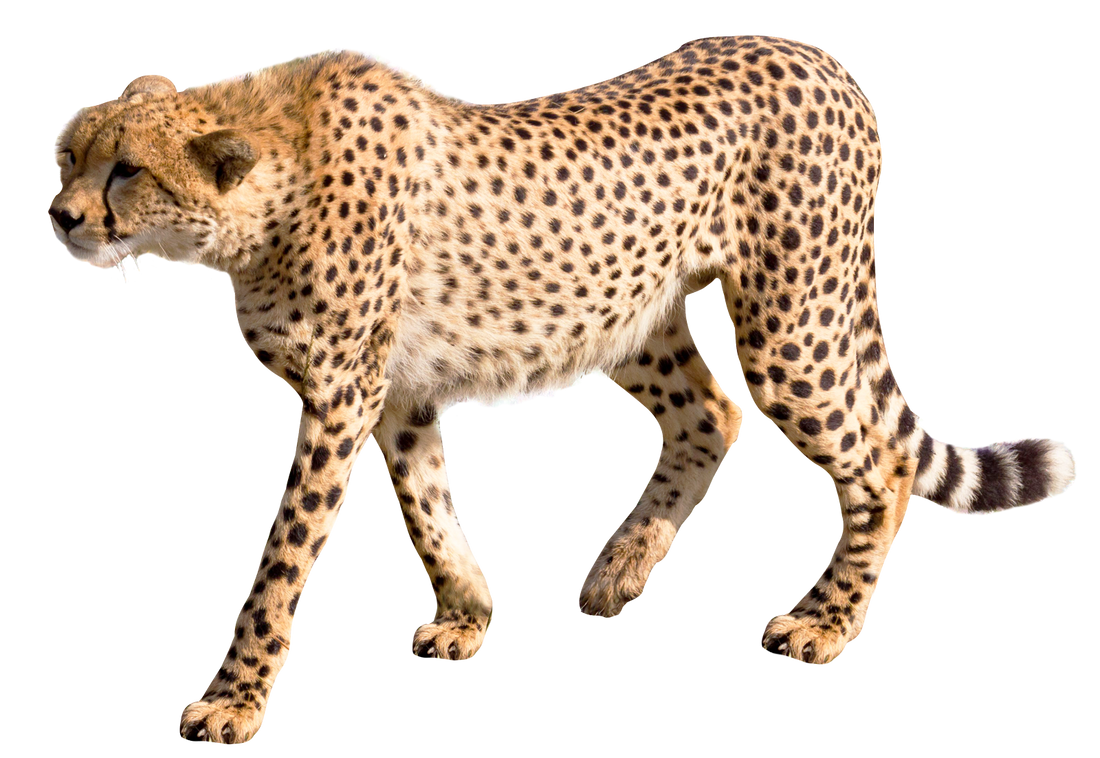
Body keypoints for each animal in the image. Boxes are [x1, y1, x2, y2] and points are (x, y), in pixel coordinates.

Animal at [47, 33, 1079, 746]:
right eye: (67, 155)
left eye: (126, 171)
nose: (59, 215)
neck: (263, 184)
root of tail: (819, 55)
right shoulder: (401, 398)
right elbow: (427, 509)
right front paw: (467, 615)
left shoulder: (340, 399)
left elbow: (282, 559)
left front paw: (232, 701)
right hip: (627, 312)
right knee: (712, 415)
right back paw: (620, 572)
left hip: (793, 321)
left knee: (880, 471)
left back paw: (823, 623)